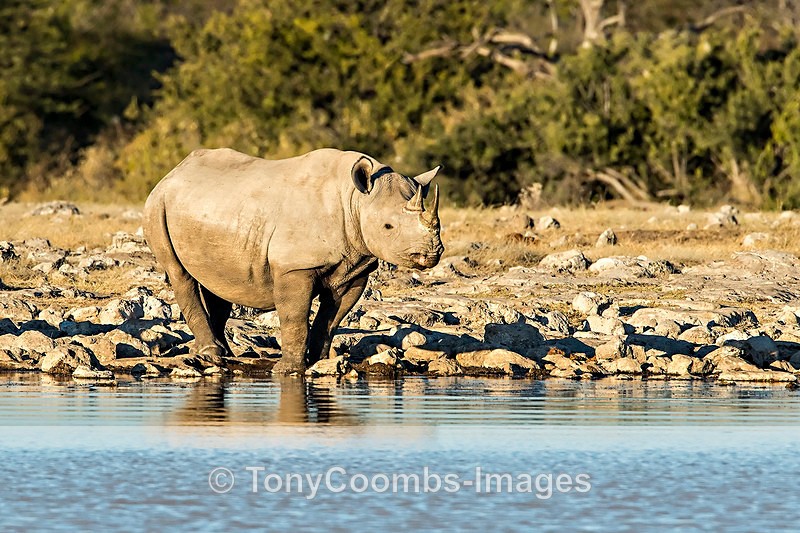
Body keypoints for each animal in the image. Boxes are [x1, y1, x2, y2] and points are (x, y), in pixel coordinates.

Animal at [143, 148, 444, 374]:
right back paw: (212, 355)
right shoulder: (295, 267)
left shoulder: (355, 267)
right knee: (180, 273)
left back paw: (223, 354)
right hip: (157, 205)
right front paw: (288, 370)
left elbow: (331, 319)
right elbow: (294, 317)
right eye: (388, 226)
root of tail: (173, 172)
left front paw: (319, 362)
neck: (355, 201)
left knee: (217, 282)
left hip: (208, 209)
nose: (430, 254)